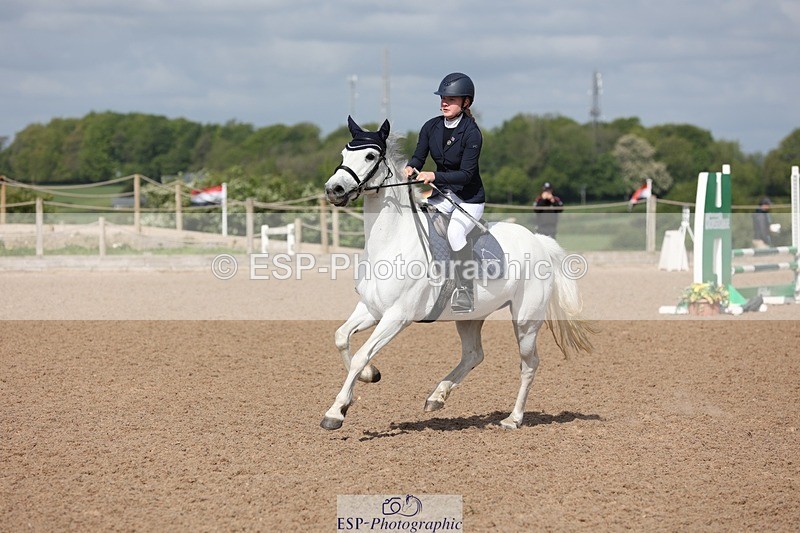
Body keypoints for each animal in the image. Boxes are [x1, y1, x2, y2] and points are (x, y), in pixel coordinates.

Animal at [321, 116, 594, 430]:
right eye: (344, 154)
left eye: (369, 156)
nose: (334, 189)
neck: (391, 241)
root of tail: (538, 241)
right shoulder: (372, 308)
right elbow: (341, 337)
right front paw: (369, 376)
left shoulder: (397, 316)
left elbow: (361, 355)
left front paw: (335, 412)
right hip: (471, 316)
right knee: (474, 354)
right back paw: (437, 396)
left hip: (526, 320)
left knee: (529, 364)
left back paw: (513, 418)